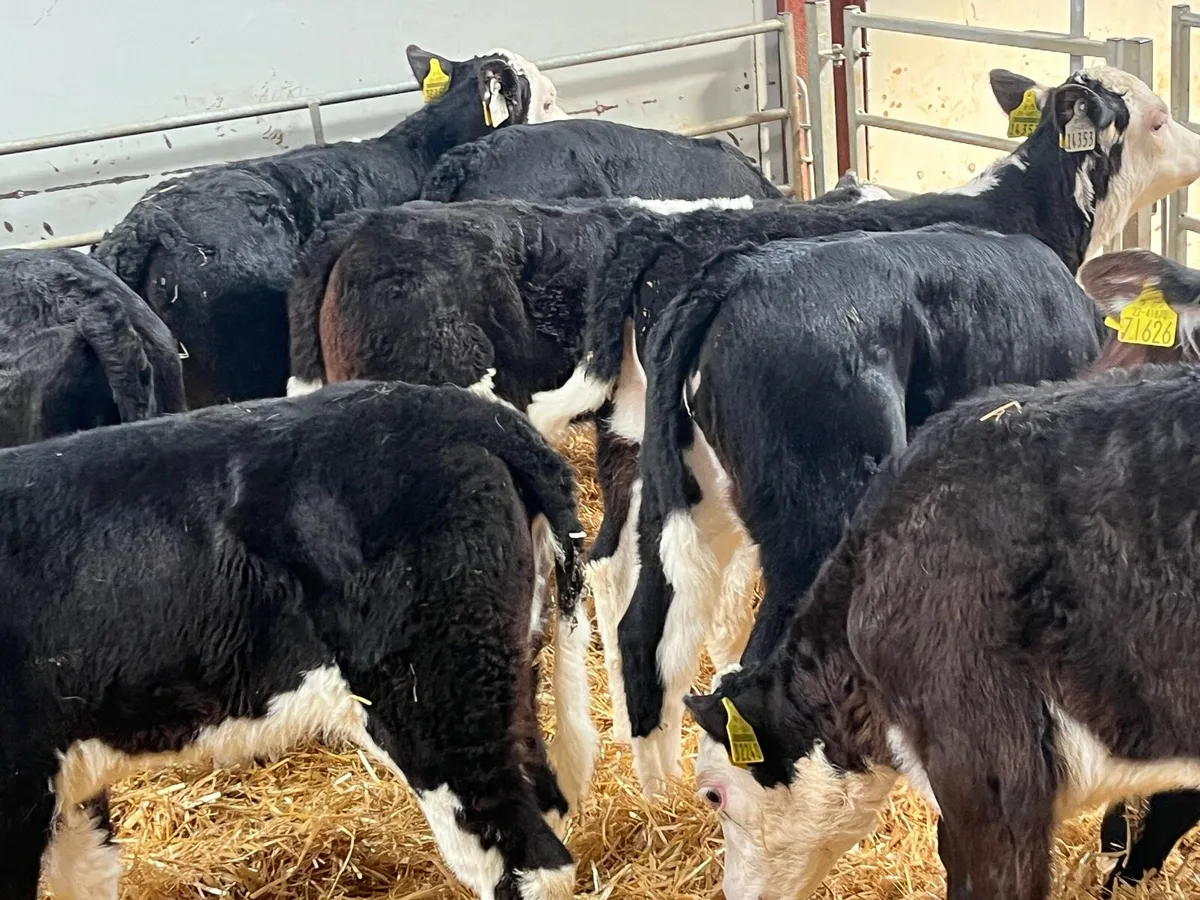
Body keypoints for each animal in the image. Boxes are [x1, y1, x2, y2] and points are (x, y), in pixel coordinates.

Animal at [9, 381, 596, 900]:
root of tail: (474, 413)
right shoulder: (67, 787)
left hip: (438, 707)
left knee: (529, 861)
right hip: (504, 681)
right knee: (546, 801)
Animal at [522, 64, 1200, 765]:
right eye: (1156, 120)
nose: (1195, 148)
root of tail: (665, 240)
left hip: (655, 463)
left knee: (633, 598)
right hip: (804, 510)